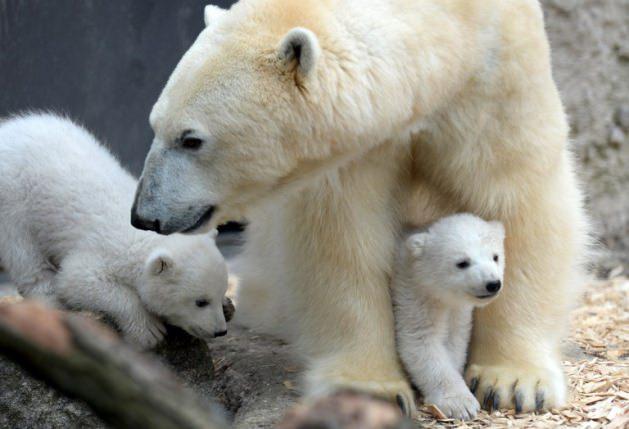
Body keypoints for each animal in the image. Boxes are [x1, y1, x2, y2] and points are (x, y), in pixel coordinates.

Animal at [132, 0, 588, 412]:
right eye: (155, 125)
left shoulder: (499, 72)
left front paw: (513, 382)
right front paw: (372, 387)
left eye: (191, 139)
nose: (143, 214)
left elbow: (517, 197)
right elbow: (343, 236)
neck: (453, 21)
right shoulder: (355, 147)